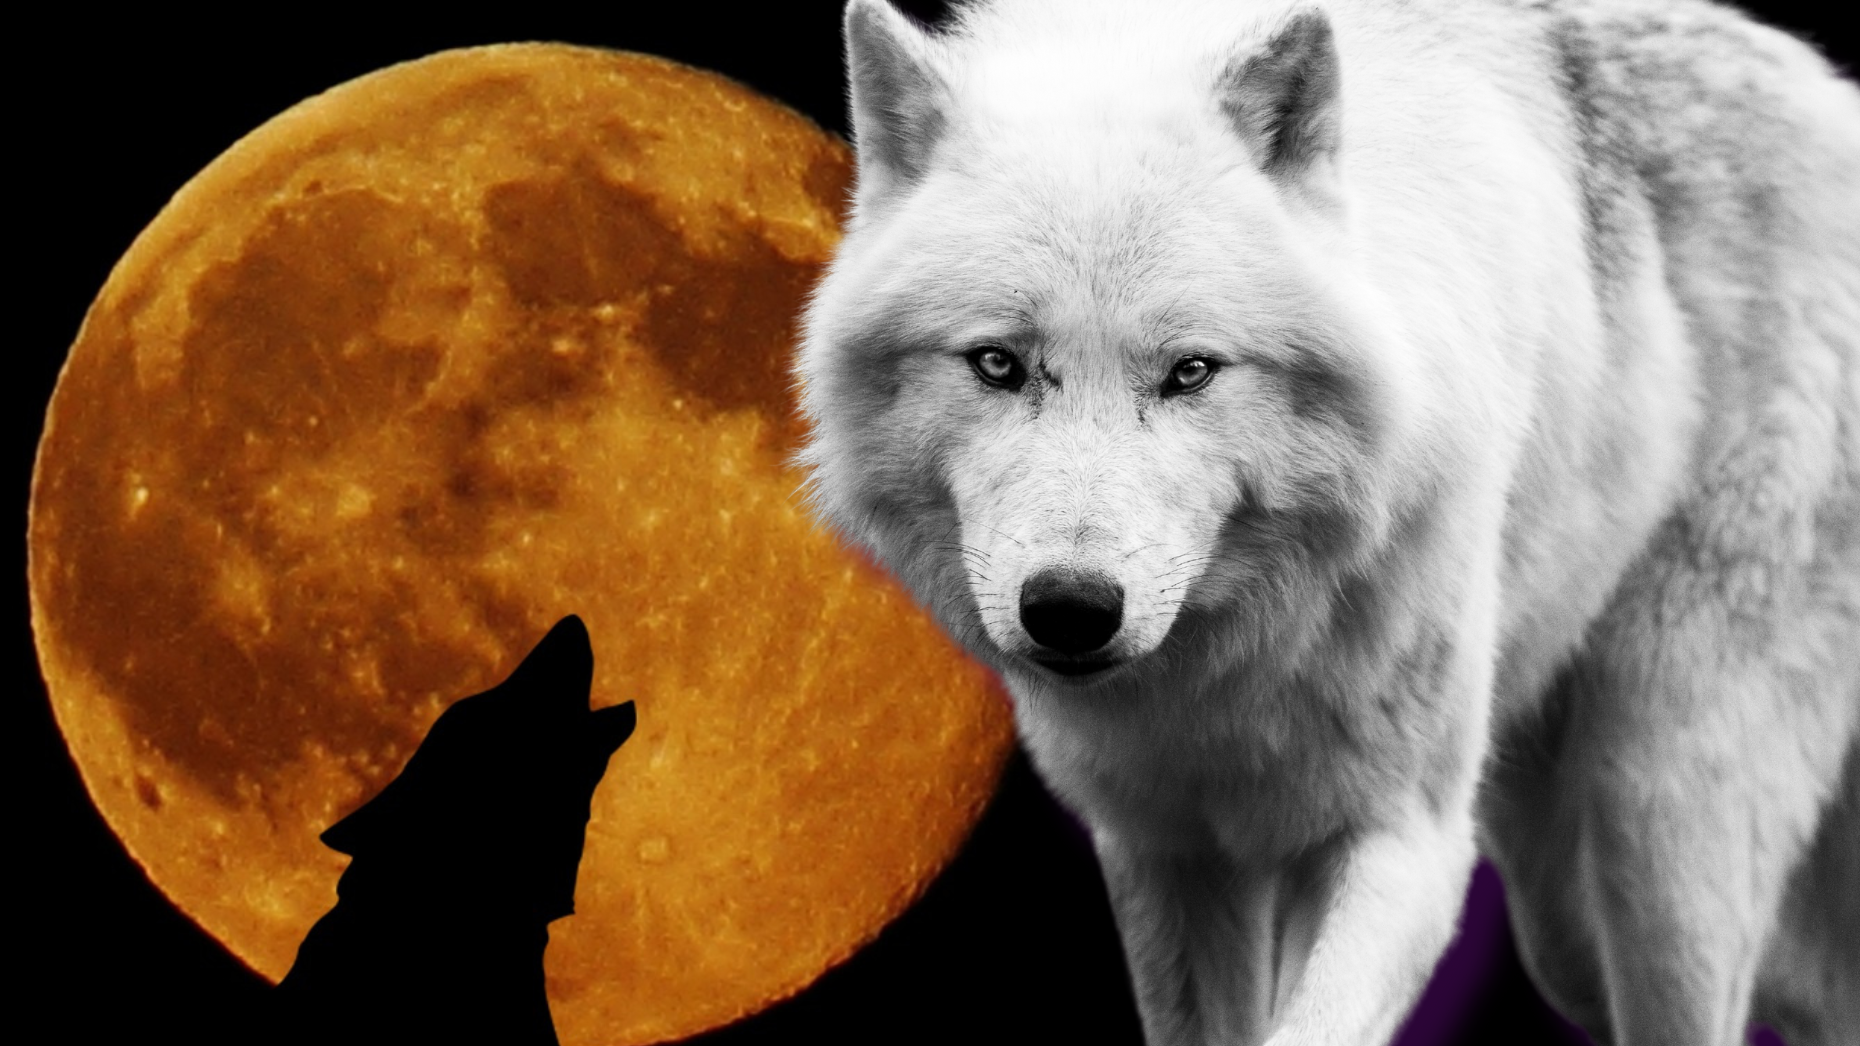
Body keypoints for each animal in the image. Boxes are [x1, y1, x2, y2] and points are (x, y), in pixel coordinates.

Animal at [792, 0, 1860, 1043]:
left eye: (1191, 371)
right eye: (998, 364)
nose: (1072, 609)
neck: (1230, 668)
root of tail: (1828, 91)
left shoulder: (1403, 839)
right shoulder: (1167, 850)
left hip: (1658, 831)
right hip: (1565, 913)